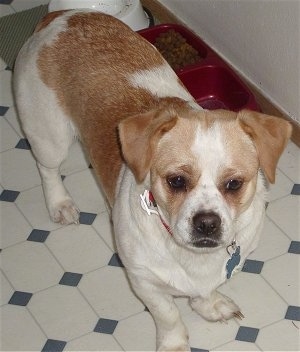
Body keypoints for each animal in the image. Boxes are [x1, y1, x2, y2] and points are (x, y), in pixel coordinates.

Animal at [13, 9, 290, 350]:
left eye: (234, 184)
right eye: (176, 181)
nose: (207, 223)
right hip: (49, 137)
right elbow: (168, 314)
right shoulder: (143, 281)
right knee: (48, 169)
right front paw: (174, 343)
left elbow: (207, 291)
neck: (193, 256)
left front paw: (209, 305)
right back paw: (60, 203)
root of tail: (62, 16)